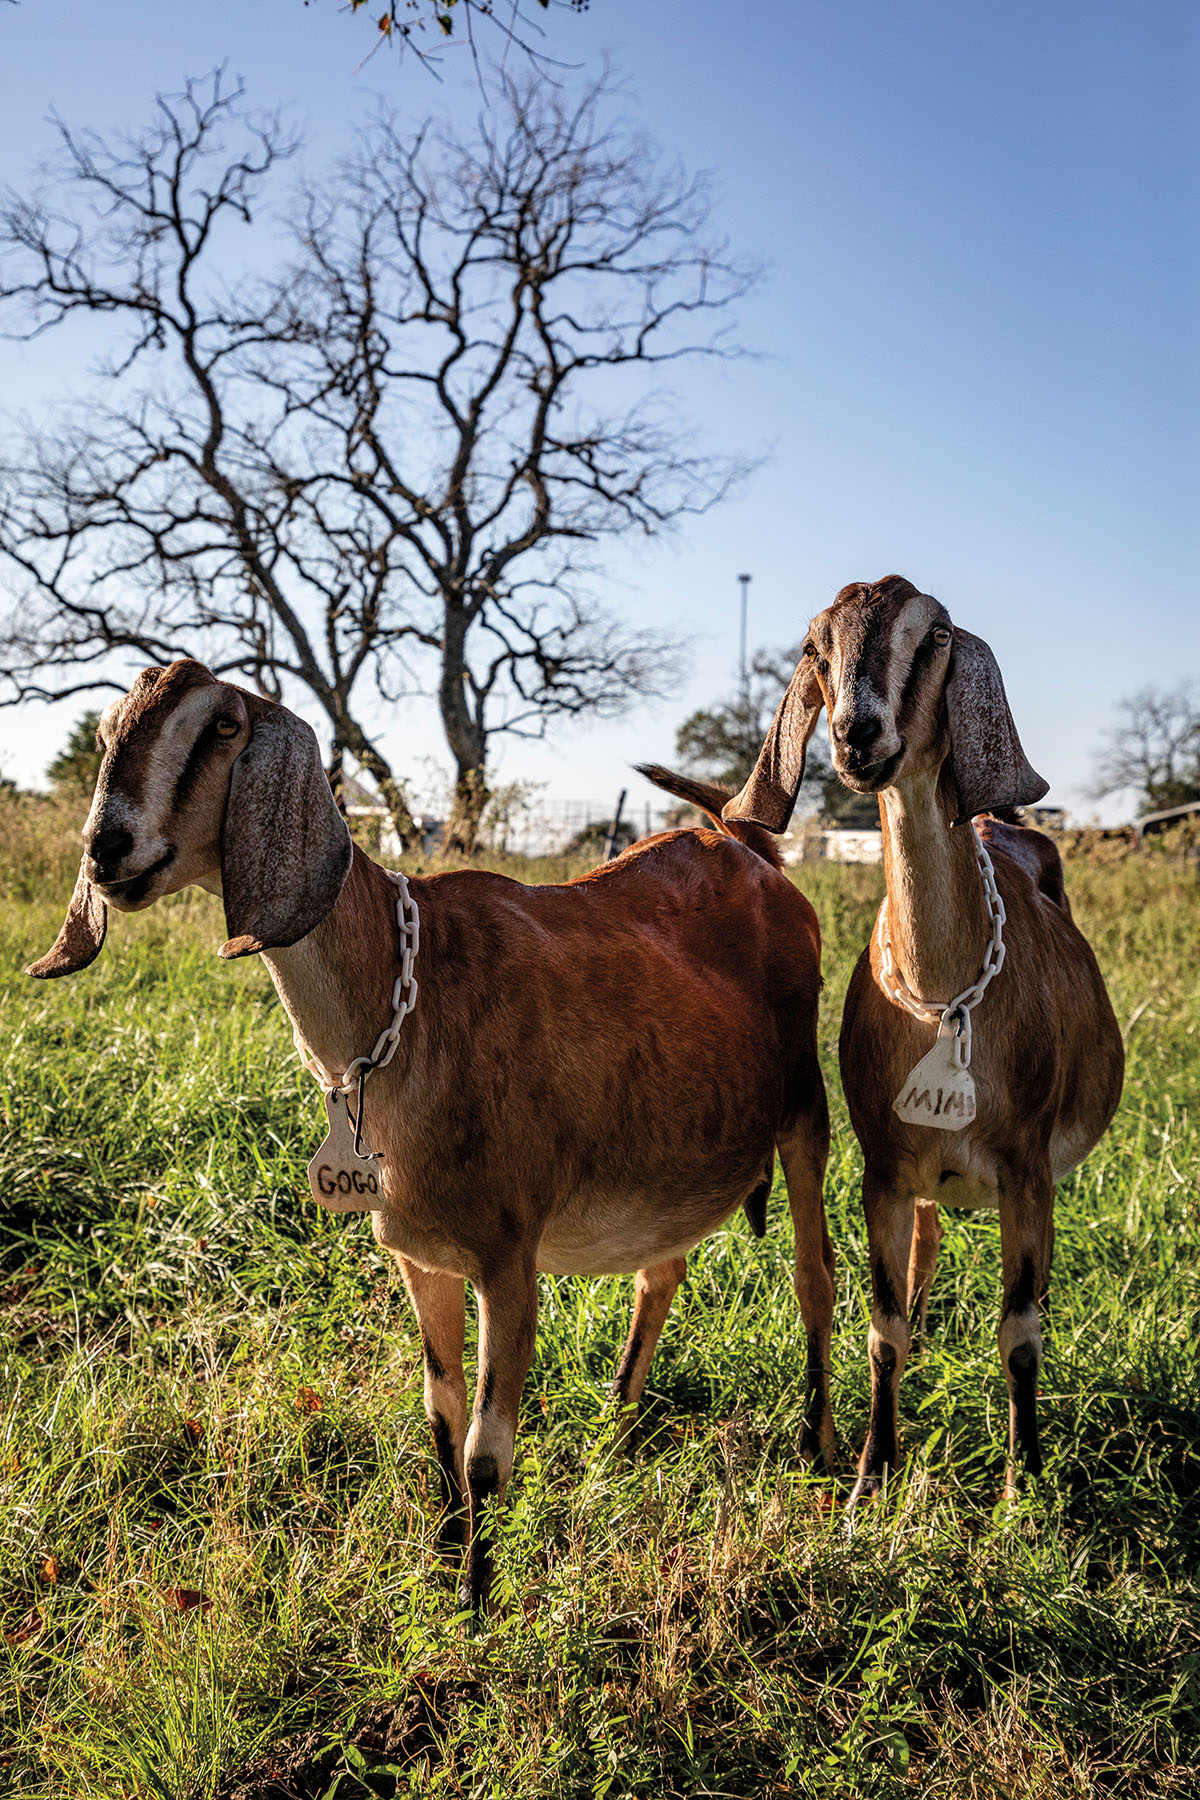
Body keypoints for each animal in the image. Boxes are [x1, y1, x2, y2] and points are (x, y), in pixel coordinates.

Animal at [30, 666, 834, 1620]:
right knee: (661, 1270)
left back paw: (831, 1459)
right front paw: (444, 1565)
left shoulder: (508, 1254)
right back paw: (617, 1425)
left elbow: (487, 1446)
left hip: (806, 1113)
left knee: (817, 1277)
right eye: (110, 729)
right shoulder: (421, 1254)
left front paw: (478, 1606)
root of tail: (748, 849)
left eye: (222, 727)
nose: (105, 849)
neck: (404, 1001)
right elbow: (440, 1413)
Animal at [723, 579, 1129, 1504]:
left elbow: (1021, 1334)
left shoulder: (1026, 1174)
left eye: (935, 635)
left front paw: (1023, 1487)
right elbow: (884, 1327)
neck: (946, 999)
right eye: (816, 646)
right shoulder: (883, 1171)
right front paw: (871, 1472)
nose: (857, 734)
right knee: (924, 1260)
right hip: (926, 1184)